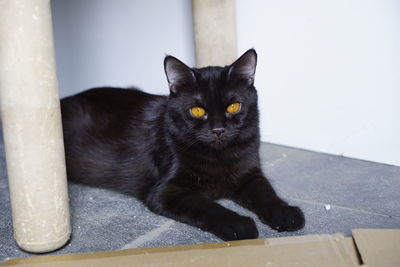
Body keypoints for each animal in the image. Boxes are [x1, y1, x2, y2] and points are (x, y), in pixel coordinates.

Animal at [61, 49, 304, 242]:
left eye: (233, 107)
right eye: (197, 110)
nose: (218, 129)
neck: (219, 156)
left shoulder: (249, 174)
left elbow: (266, 193)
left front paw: (285, 214)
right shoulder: (166, 192)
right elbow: (209, 207)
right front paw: (239, 225)